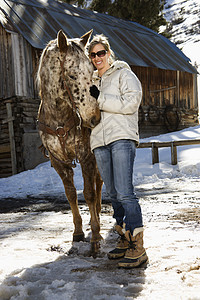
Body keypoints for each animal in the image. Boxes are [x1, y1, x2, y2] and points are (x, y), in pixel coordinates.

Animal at [37, 29, 104, 255]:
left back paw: (98, 216)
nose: (95, 118)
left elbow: (89, 193)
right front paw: (78, 232)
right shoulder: (58, 162)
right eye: (72, 75)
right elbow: (71, 194)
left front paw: (95, 237)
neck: (59, 118)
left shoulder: (87, 156)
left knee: (99, 183)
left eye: (93, 70)